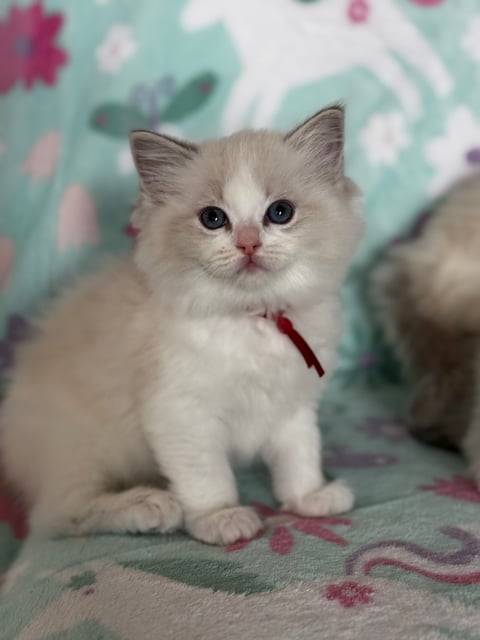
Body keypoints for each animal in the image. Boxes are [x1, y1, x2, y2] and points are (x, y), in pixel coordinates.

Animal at [0, 106, 360, 544]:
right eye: (213, 219)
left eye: (280, 212)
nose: (248, 244)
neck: (252, 316)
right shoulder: (182, 413)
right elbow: (208, 476)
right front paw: (222, 518)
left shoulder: (292, 404)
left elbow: (299, 455)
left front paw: (310, 498)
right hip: (83, 448)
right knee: (56, 516)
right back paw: (149, 506)